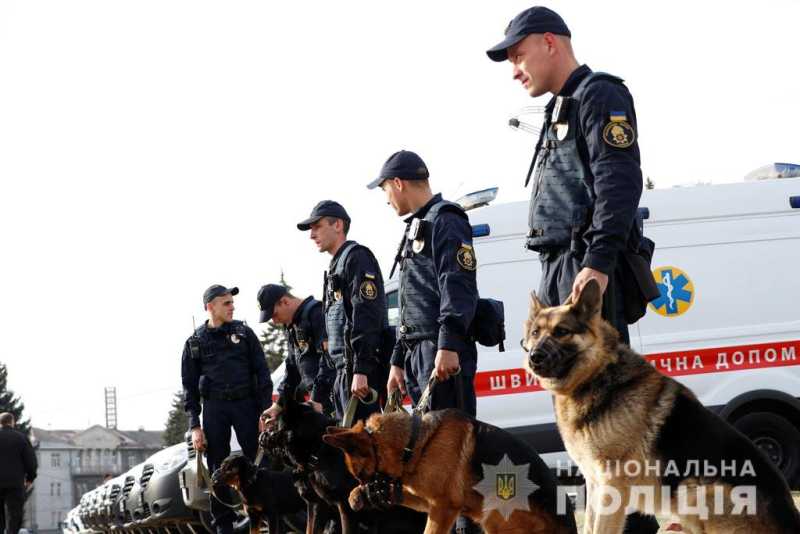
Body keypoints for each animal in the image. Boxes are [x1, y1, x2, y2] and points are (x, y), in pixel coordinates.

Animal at [272, 390, 428, 534]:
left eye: (274, 425)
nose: (266, 435)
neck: (319, 447)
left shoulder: (346, 507)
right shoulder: (317, 505)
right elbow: (310, 529)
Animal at [322, 410, 580, 534]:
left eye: (362, 476)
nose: (368, 492)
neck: (414, 443)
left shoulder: (443, 507)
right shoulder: (429, 501)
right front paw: (355, 496)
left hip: (494, 512)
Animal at [520, 280, 800, 534]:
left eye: (561, 331)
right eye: (535, 333)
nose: (534, 357)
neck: (597, 374)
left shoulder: (612, 485)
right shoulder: (594, 482)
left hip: (695, 489)